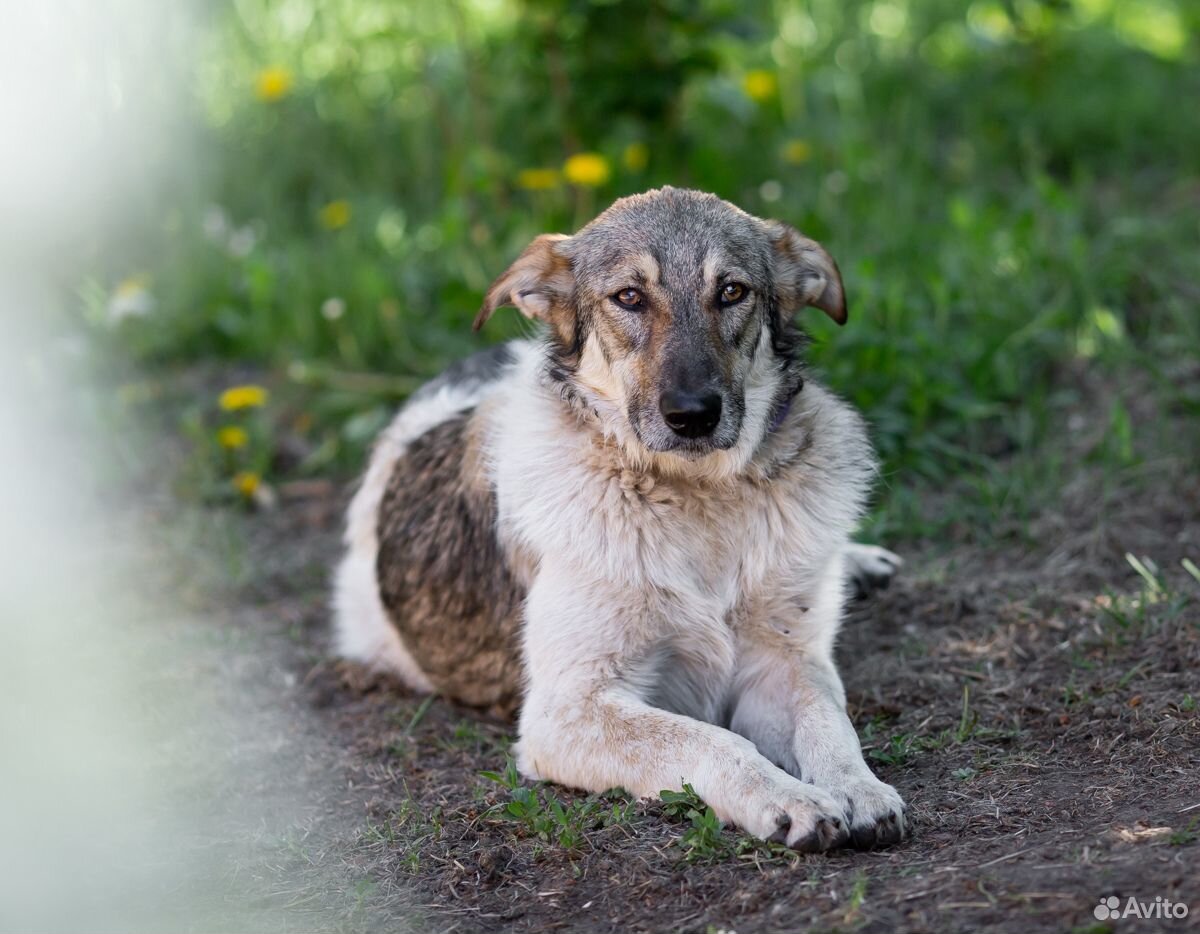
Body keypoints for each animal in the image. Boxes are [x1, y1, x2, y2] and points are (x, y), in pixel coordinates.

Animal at [333, 186, 902, 849]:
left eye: (732, 291)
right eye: (629, 297)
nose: (692, 415)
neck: (696, 499)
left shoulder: (781, 661)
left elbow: (828, 719)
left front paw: (859, 787)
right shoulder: (566, 710)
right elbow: (714, 741)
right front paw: (790, 799)